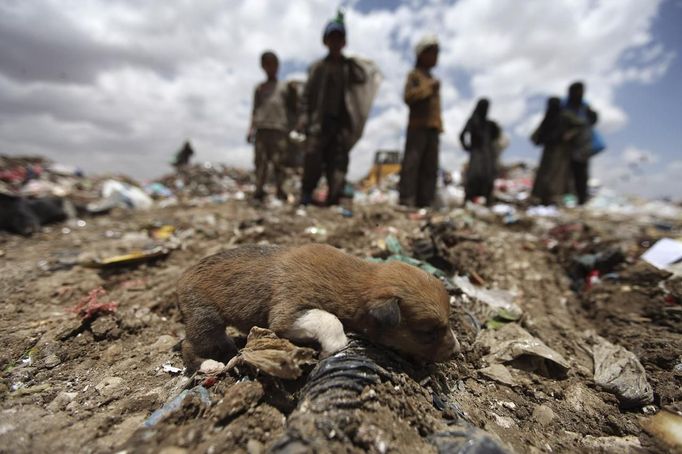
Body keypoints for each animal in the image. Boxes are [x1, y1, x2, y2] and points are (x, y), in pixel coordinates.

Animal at [178, 243, 460, 370]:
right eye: (427, 333)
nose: (457, 352)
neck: (355, 283)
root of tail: (183, 275)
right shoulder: (287, 314)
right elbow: (329, 319)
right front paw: (334, 346)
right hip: (205, 317)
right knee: (189, 344)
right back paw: (208, 364)